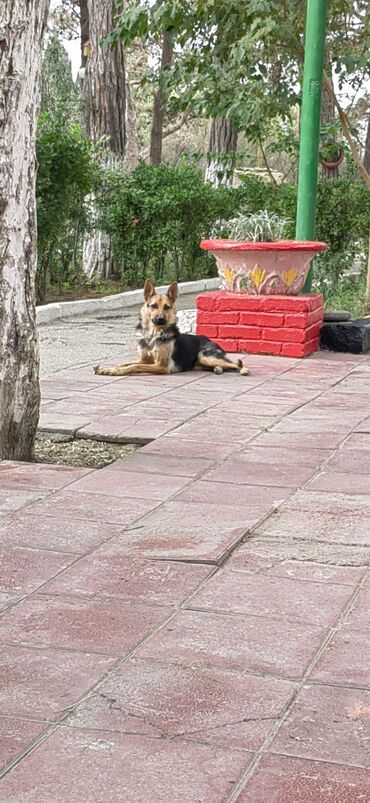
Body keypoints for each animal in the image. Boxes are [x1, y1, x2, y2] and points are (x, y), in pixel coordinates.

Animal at [92, 282, 250, 378]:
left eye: (167, 307)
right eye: (153, 306)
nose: (160, 319)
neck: (153, 335)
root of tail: (208, 339)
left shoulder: (161, 366)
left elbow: (134, 366)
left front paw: (116, 371)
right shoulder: (144, 359)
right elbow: (125, 363)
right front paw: (107, 369)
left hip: (205, 356)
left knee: (235, 363)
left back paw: (243, 369)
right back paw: (218, 369)